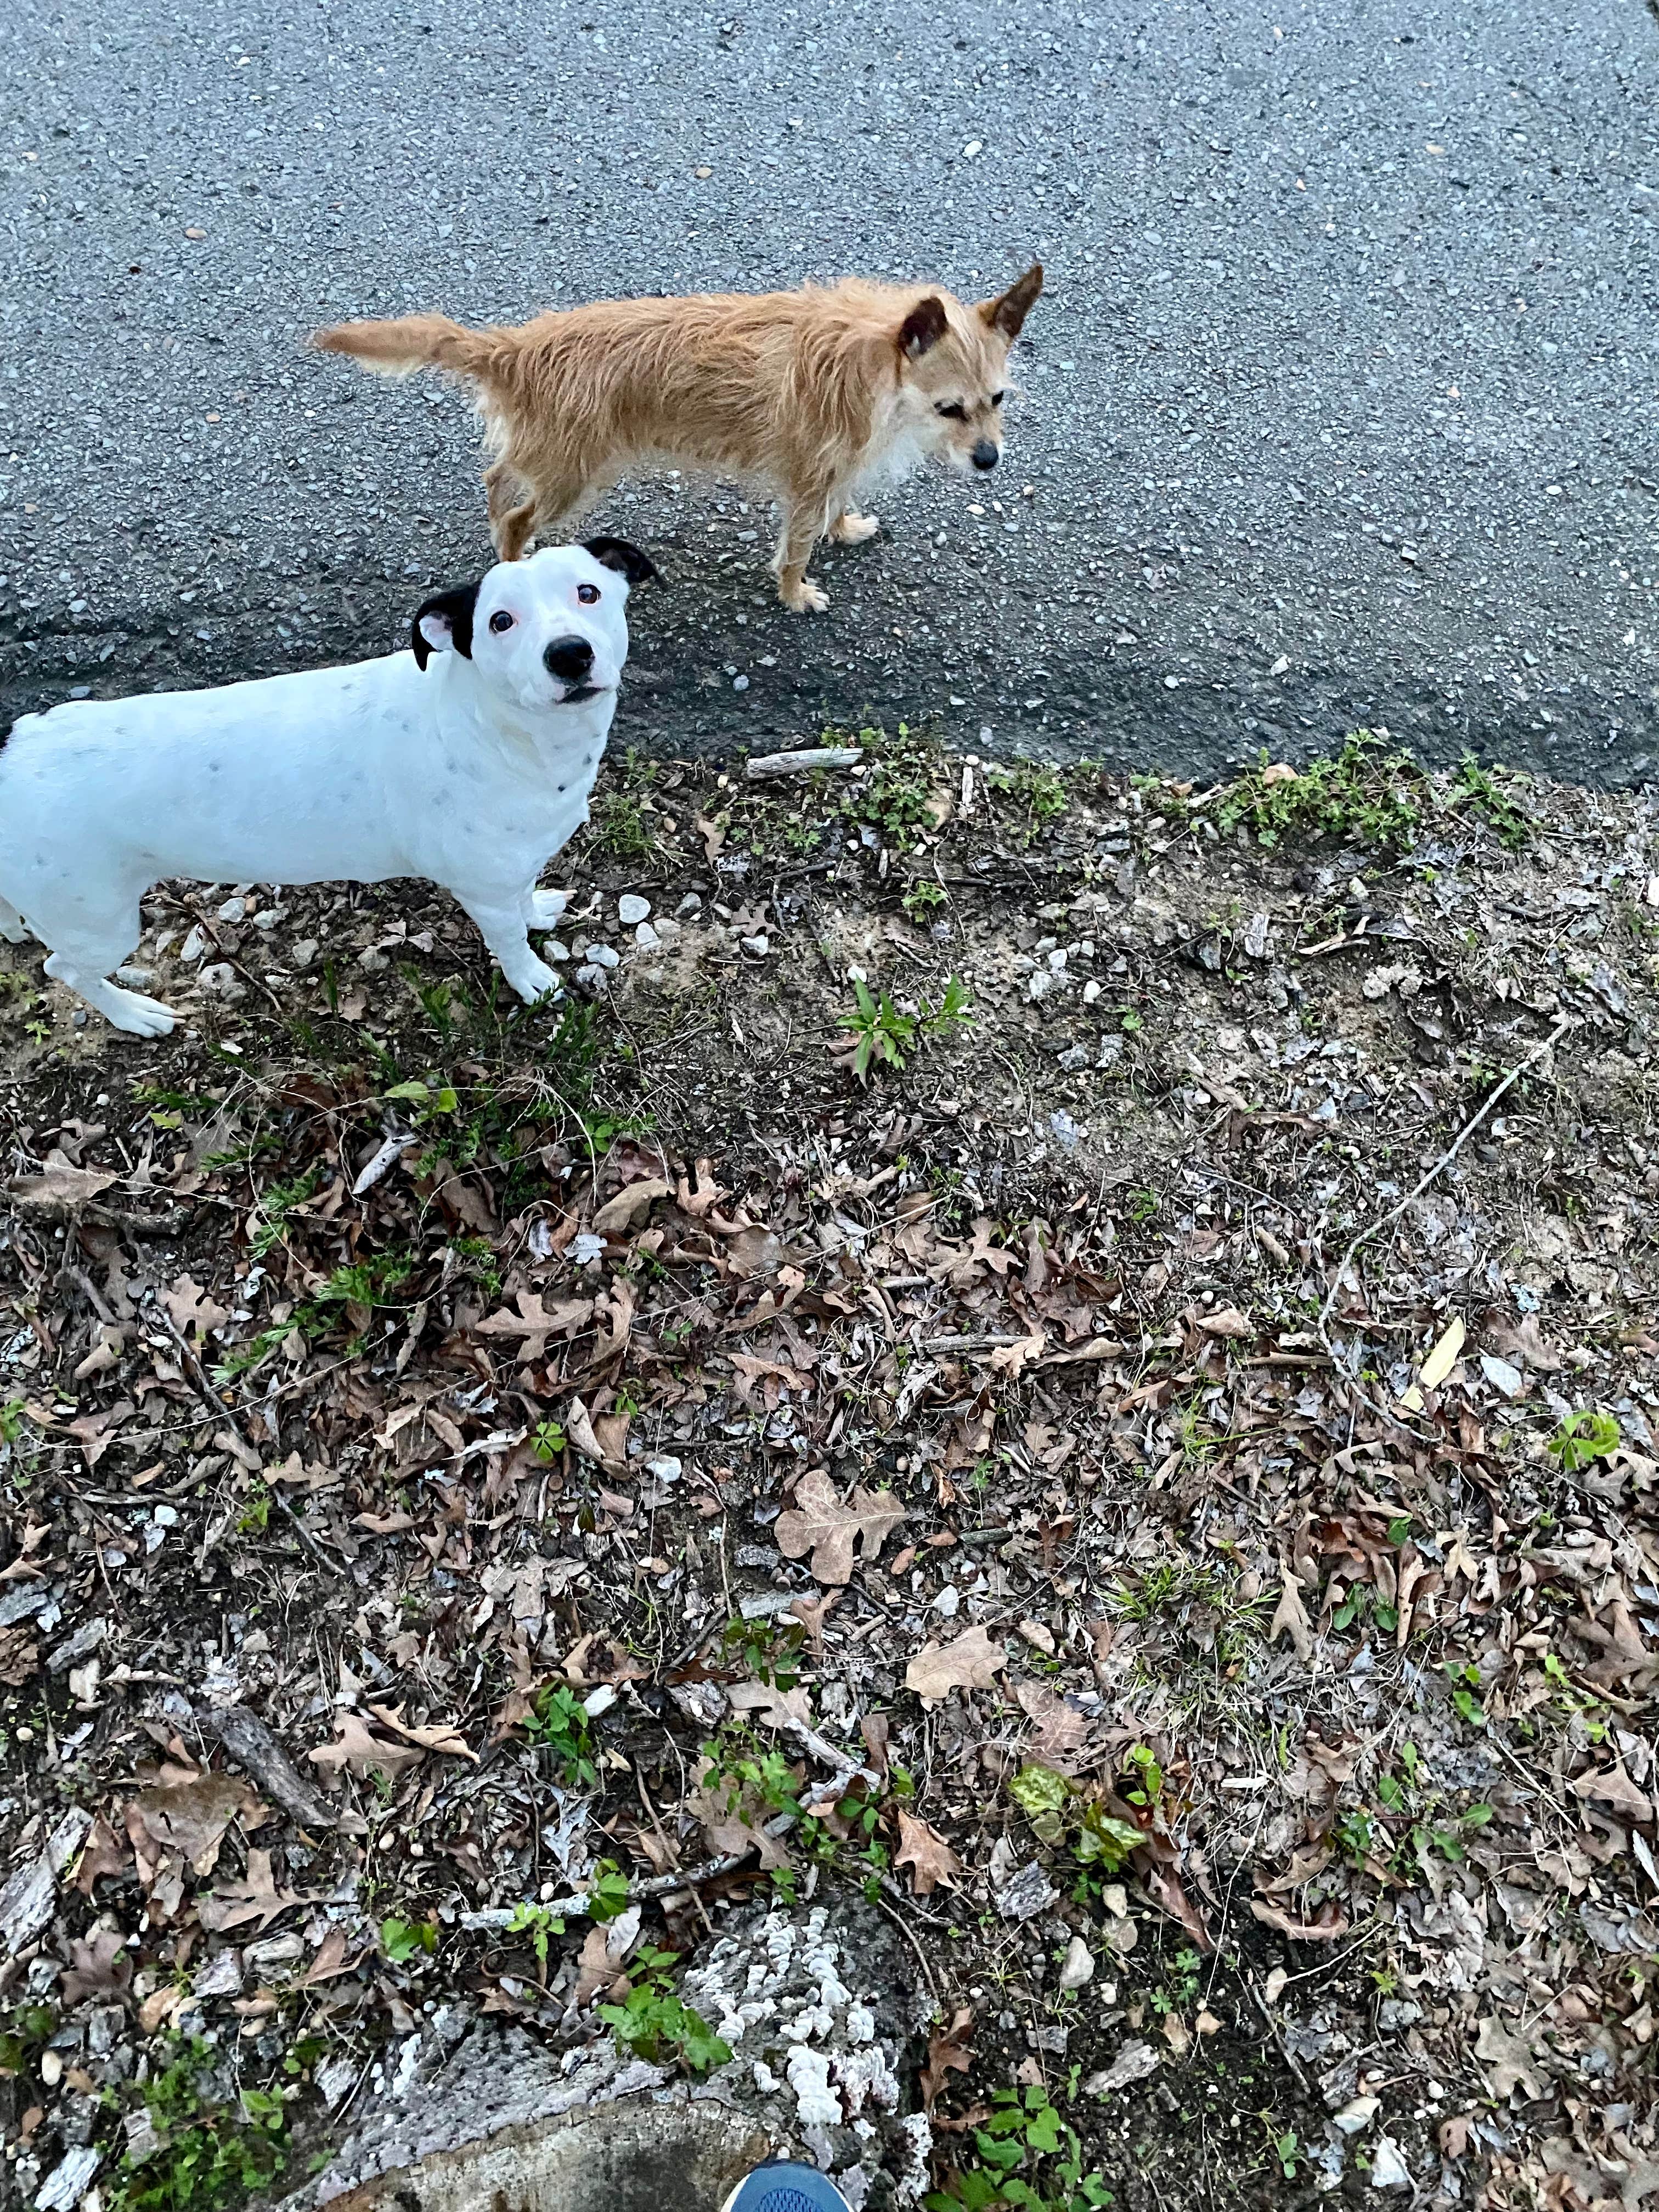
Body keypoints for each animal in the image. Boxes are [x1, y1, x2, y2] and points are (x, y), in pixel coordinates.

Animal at [0, 539, 659, 1030]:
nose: (569, 654)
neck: (494, 726)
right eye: (500, 621)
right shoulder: (484, 892)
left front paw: (539, 912)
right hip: (97, 919)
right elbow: (512, 942)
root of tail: (14, 743)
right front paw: (533, 981)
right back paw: (133, 1015)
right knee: (65, 971)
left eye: (588, 592)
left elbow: (525, 902)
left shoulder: (510, 871)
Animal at [314, 268, 1040, 614]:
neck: (876, 366)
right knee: (517, 515)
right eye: (951, 409)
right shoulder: (807, 479)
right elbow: (797, 545)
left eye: (998, 400)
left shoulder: (833, 469)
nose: (989, 460)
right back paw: (514, 562)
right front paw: (794, 594)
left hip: (549, 457)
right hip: (573, 475)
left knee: (498, 479)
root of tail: (515, 349)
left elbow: (834, 510)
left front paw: (846, 530)